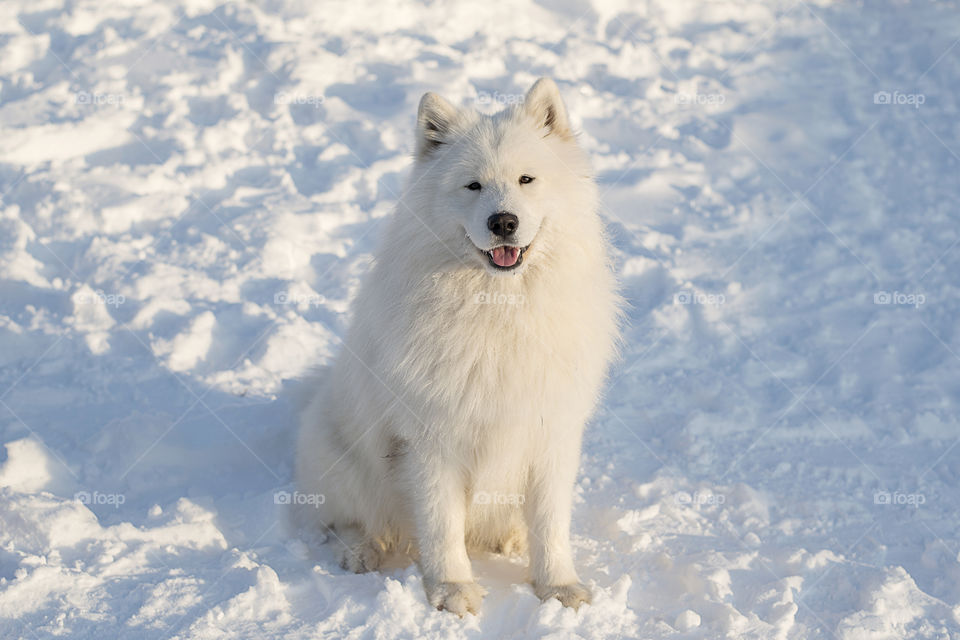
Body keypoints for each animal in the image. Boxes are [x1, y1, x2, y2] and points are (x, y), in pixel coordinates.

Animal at [294, 79, 624, 616]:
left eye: (526, 179)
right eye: (473, 186)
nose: (503, 222)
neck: (498, 309)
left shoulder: (550, 433)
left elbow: (550, 524)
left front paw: (557, 587)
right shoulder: (431, 441)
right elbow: (441, 525)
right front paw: (451, 591)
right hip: (343, 460)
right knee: (345, 521)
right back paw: (361, 550)